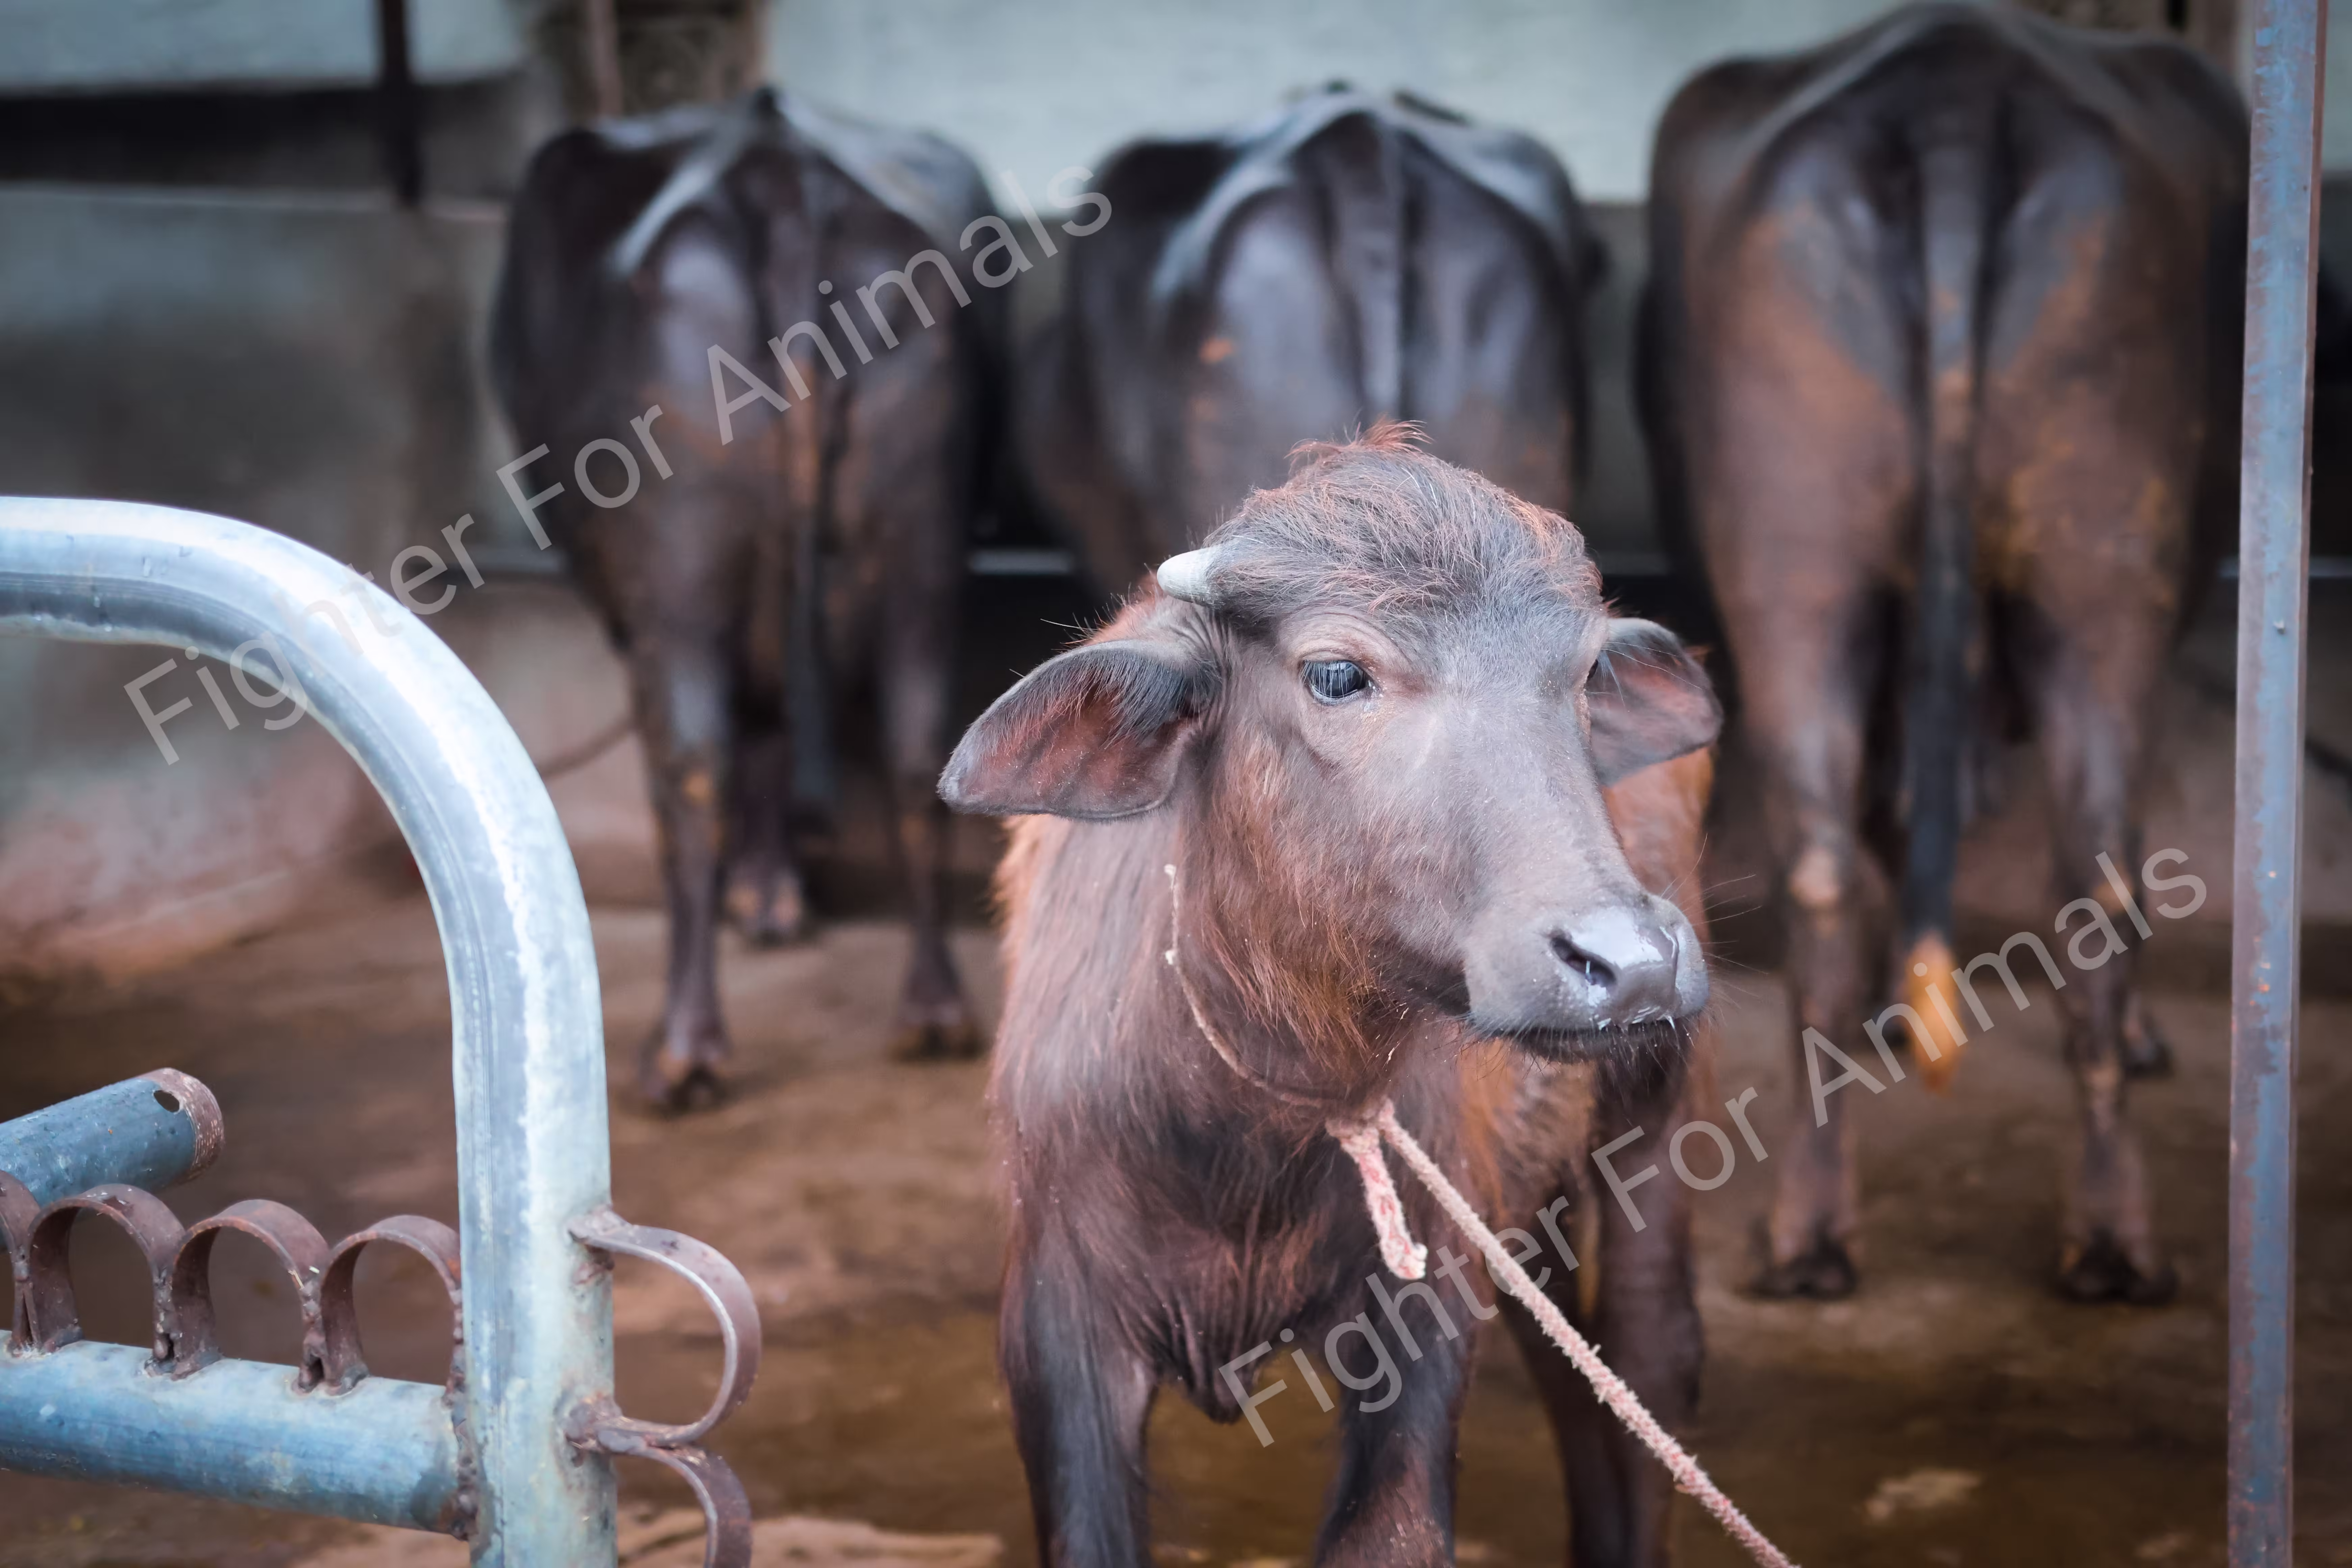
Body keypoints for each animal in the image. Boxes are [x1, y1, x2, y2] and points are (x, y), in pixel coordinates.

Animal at [492, 88, 1004, 1105]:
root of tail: (778, 162)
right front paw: (773, 894)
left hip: (678, 577)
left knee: (692, 768)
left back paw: (682, 1052)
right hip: (922, 552)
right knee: (917, 752)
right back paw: (933, 1012)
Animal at [943, 432, 1726, 1568]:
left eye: (1582, 674)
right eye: (1337, 674)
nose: (1630, 962)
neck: (1253, 1116)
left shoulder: (1423, 1304)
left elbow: (1390, 1528)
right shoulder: (1056, 1323)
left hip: (1653, 1110)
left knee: (1647, 1356)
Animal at [1638, 2, 2246, 1302]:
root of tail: (1957, 90)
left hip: (1806, 564)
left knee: (1845, 868)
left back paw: (1821, 1229)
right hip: (2103, 574)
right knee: (2088, 869)